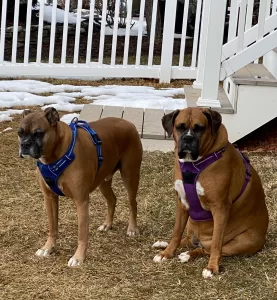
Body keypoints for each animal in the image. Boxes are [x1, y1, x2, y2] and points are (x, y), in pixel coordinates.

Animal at [18, 108, 142, 268]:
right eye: (20, 133)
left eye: (38, 133)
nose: (25, 144)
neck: (56, 154)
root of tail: (129, 123)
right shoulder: (49, 198)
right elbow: (52, 227)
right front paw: (48, 248)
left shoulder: (81, 201)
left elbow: (82, 233)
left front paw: (78, 257)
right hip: (103, 180)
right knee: (112, 200)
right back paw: (107, 224)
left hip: (130, 175)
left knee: (133, 203)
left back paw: (132, 229)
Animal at [151, 108, 268, 278]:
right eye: (180, 127)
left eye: (200, 128)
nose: (187, 138)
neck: (193, 164)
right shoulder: (182, 203)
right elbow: (176, 233)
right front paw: (166, 253)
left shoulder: (220, 208)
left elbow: (216, 244)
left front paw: (212, 267)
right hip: (191, 223)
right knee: (188, 239)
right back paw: (165, 244)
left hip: (241, 243)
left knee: (207, 248)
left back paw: (189, 255)